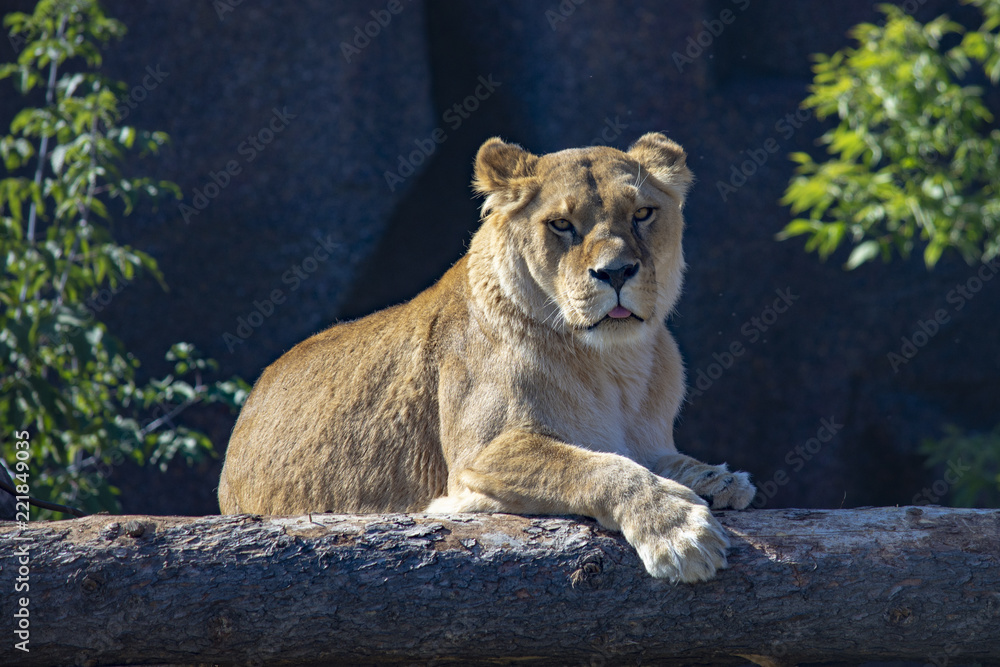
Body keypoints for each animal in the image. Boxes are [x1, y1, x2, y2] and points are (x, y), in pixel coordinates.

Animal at [218, 132, 755, 582]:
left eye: (642, 213)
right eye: (562, 225)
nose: (617, 271)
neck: (616, 365)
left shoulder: (648, 439)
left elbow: (660, 459)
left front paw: (719, 479)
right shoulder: (477, 461)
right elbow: (596, 466)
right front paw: (678, 530)